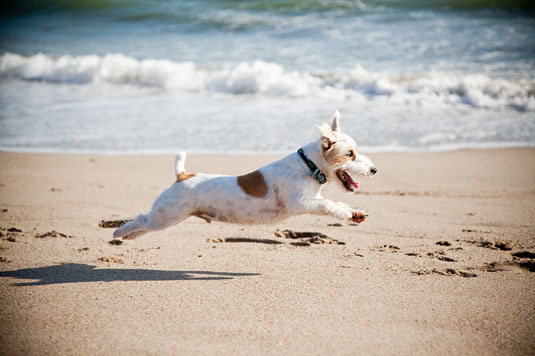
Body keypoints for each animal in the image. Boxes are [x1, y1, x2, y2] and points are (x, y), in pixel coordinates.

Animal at [115, 110, 378, 239]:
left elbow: (336, 204)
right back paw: (119, 232)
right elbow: (329, 205)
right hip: (166, 216)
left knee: (144, 226)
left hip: (172, 218)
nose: (374, 170)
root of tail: (183, 176)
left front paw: (354, 213)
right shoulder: (301, 203)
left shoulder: (312, 199)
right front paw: (348, 212)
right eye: (350, 154)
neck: (307, 165)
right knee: (141, 219)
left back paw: (129, 237)